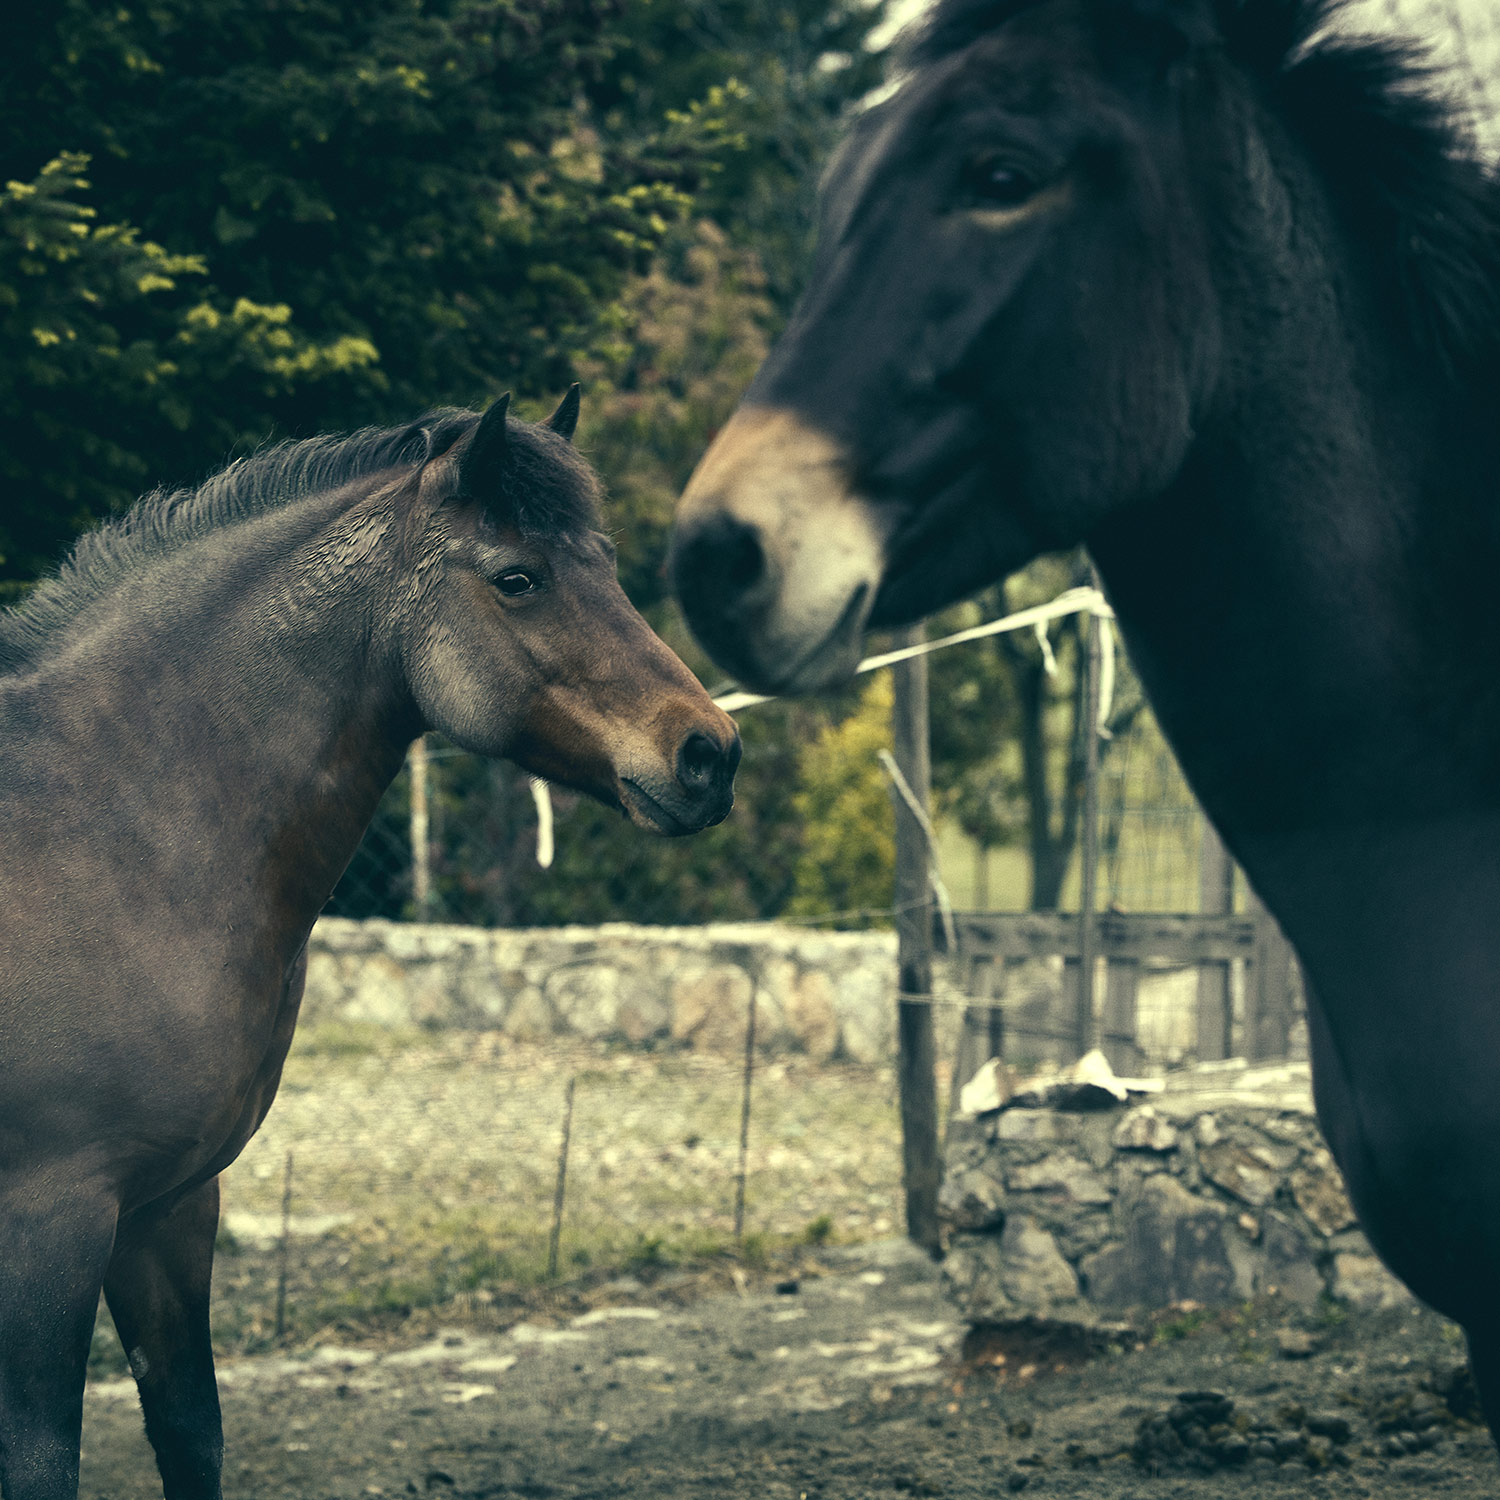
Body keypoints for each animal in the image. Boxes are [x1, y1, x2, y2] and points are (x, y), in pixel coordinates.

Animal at [0, 389, 741, 1500]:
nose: (709, 754)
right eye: (517, 578)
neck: (112, 822)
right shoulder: (51, 1222)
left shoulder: (168, 1210)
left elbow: (191, 1429)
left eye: (606, 564)